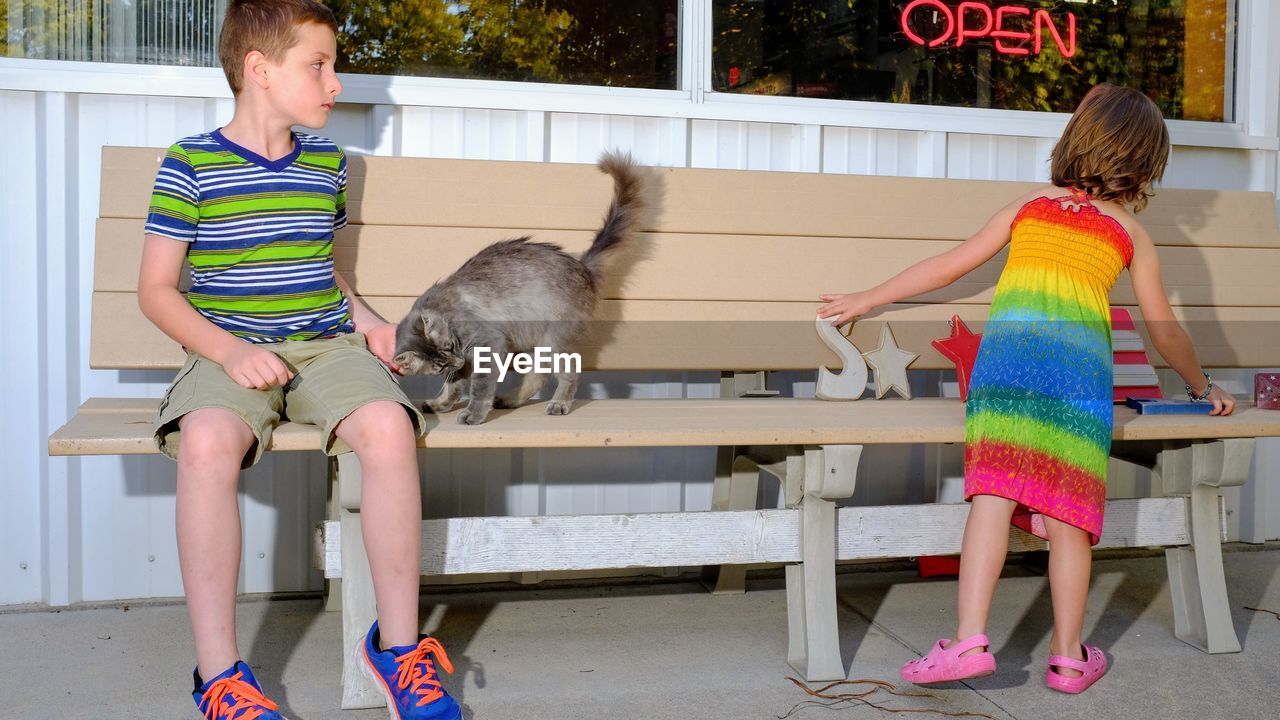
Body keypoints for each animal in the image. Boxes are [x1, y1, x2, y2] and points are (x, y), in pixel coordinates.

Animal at [391, 149, 650, 420]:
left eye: (450, 347)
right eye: (439, 365)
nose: (457, 361)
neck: (443, 312)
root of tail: (582, 265)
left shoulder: (488, 344)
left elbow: (479, 387)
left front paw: (474, 414)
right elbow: (453, 386)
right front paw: (441, 404)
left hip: (553, 339)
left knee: (568, 372)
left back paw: (559, 403)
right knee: (538, 374)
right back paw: (510, 399)